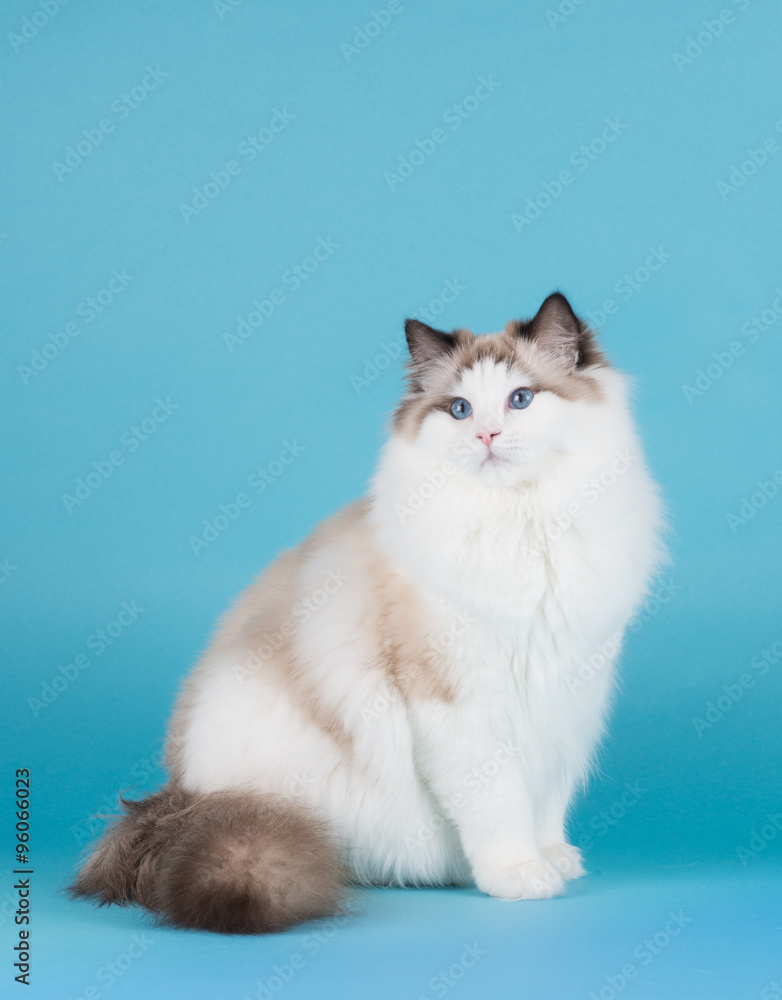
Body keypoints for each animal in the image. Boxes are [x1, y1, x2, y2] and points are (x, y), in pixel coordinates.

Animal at [70, 292, 664, 932]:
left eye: (520, 399)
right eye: (459, 410)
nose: (486, 434)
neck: (521, 523)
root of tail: (181, 801)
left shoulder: (568, 694)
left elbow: (547, 798)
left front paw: (553, 857)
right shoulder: (459, 702)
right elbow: (500, 804)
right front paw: (520, 874)